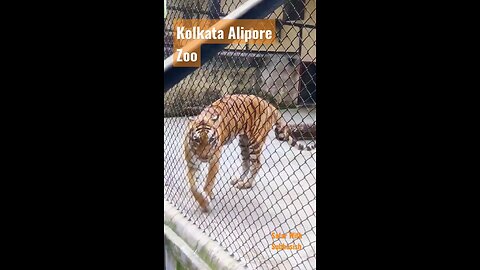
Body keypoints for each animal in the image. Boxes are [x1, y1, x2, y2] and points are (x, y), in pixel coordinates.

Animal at [184, 94, 316, 212]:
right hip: (244, 142)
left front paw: (206, 200)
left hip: (255, 142)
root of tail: (270, 105)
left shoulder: (214, 159)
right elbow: (193, 186)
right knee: (246, 163)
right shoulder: (192, 163)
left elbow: (209, 182)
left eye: (211, 139)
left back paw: (246, 184)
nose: (205, 157)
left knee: (256, 164)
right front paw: (203, 199)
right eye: (197, 140)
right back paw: (239, 180)